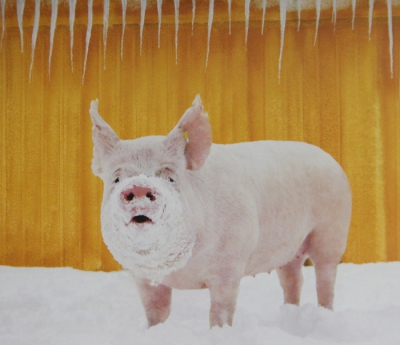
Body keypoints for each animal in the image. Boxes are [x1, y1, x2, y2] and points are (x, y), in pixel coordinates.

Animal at [90, 95, 350, 326]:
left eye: (170, 177)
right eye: (116, 179)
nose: (139, 186)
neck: (178, 268)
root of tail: (332, 161)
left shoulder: (230, 265)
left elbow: (221, 310)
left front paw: (219, 331)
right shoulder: (144, 278)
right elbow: (156, 313)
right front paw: (154, 330)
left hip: (331, 231)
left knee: (325, 277)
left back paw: (324, 315)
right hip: (289, 249)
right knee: (292, 278)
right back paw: (289, 314)